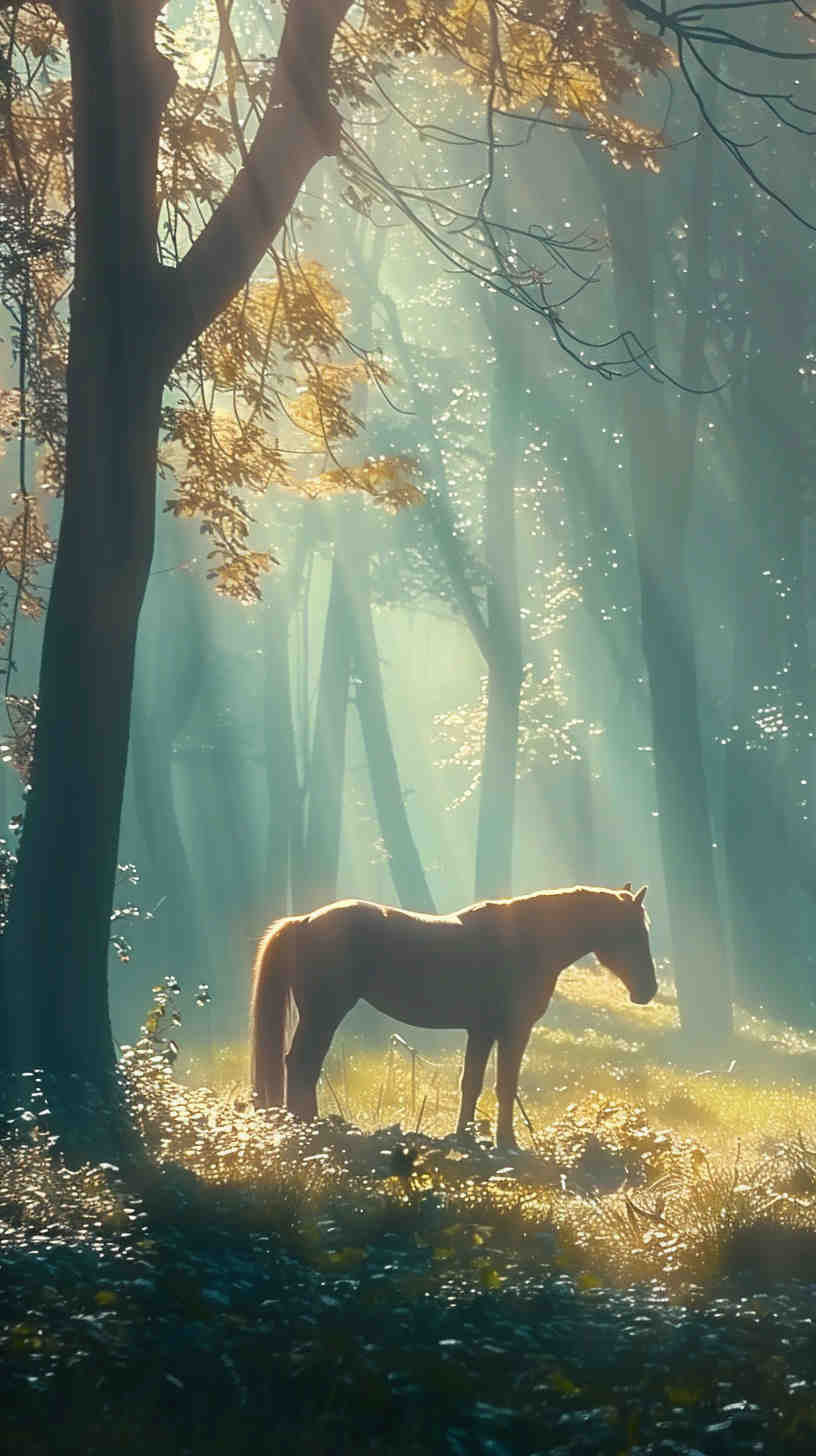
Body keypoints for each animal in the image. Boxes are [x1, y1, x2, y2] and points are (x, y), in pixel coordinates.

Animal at [250, 883, 656, 1149]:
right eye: (633, 932)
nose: (648, 990)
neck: (525, 940)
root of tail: (304, 921)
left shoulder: (482, 1031)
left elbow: (472, 1083)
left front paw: (466, 1138)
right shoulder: (513, 1031)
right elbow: (505, 1085)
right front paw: (506, 1144)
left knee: (302, 1065)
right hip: (324, 1014)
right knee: (302, 1064)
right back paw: (308, 1128)